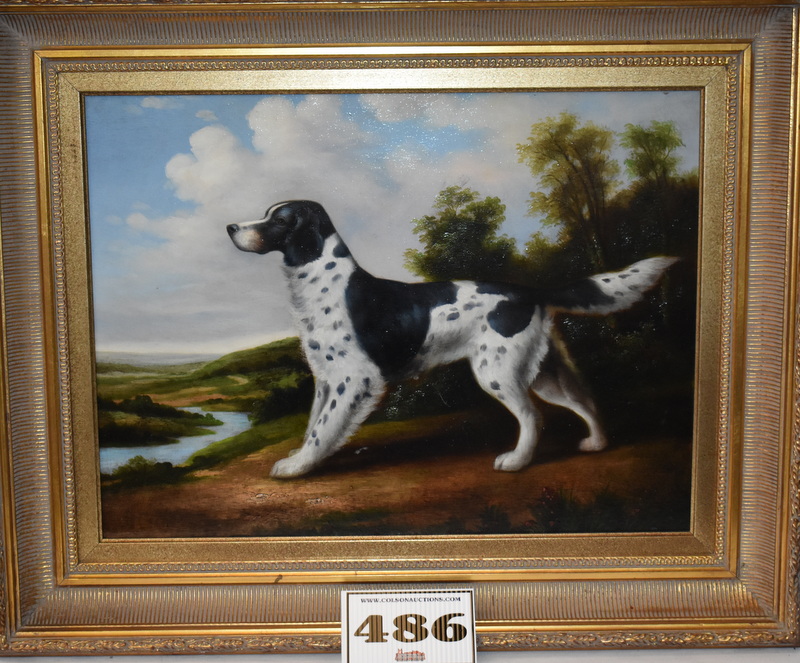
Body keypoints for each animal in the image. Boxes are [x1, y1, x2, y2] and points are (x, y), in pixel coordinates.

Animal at [227, 200, 677, 478]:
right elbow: (311, 424)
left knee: (533, 415)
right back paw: (597, 444)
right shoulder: (325, 378)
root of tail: (530, 291)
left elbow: (322, 428)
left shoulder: (351, 379)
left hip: (497, 370)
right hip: (543, 371)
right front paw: (299, 457)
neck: (325, 283)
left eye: (279, 220)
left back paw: (516, 461)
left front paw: (297, 467)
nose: (231, 226)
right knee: (585, 401)